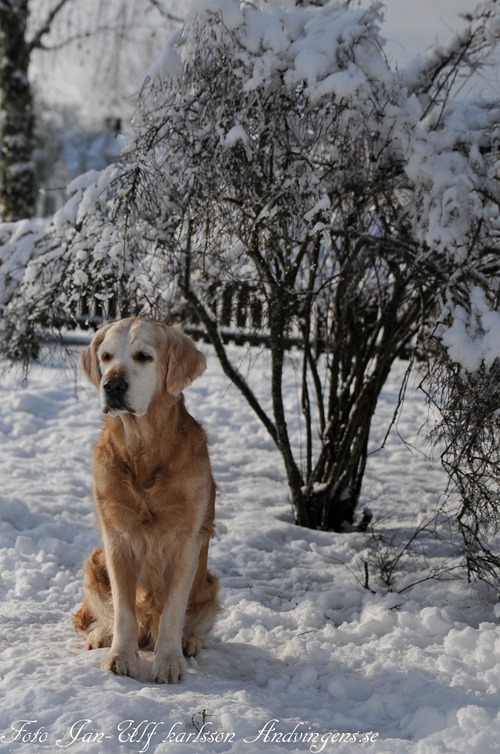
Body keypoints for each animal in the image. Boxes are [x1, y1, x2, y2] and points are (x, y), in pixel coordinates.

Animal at [72, 316, 219, 680]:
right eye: (106, 356)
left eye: (143, 356)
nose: (111, 385)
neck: (143, 447)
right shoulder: (117, 539)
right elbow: (123, 611)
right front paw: (120, 657)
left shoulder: (186, 541)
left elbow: (172, 612)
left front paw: (169, 662)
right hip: (94, 563)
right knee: (107, 613)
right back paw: (101, 634)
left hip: (211, 586)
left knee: (196, 622)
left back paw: (189, 642)